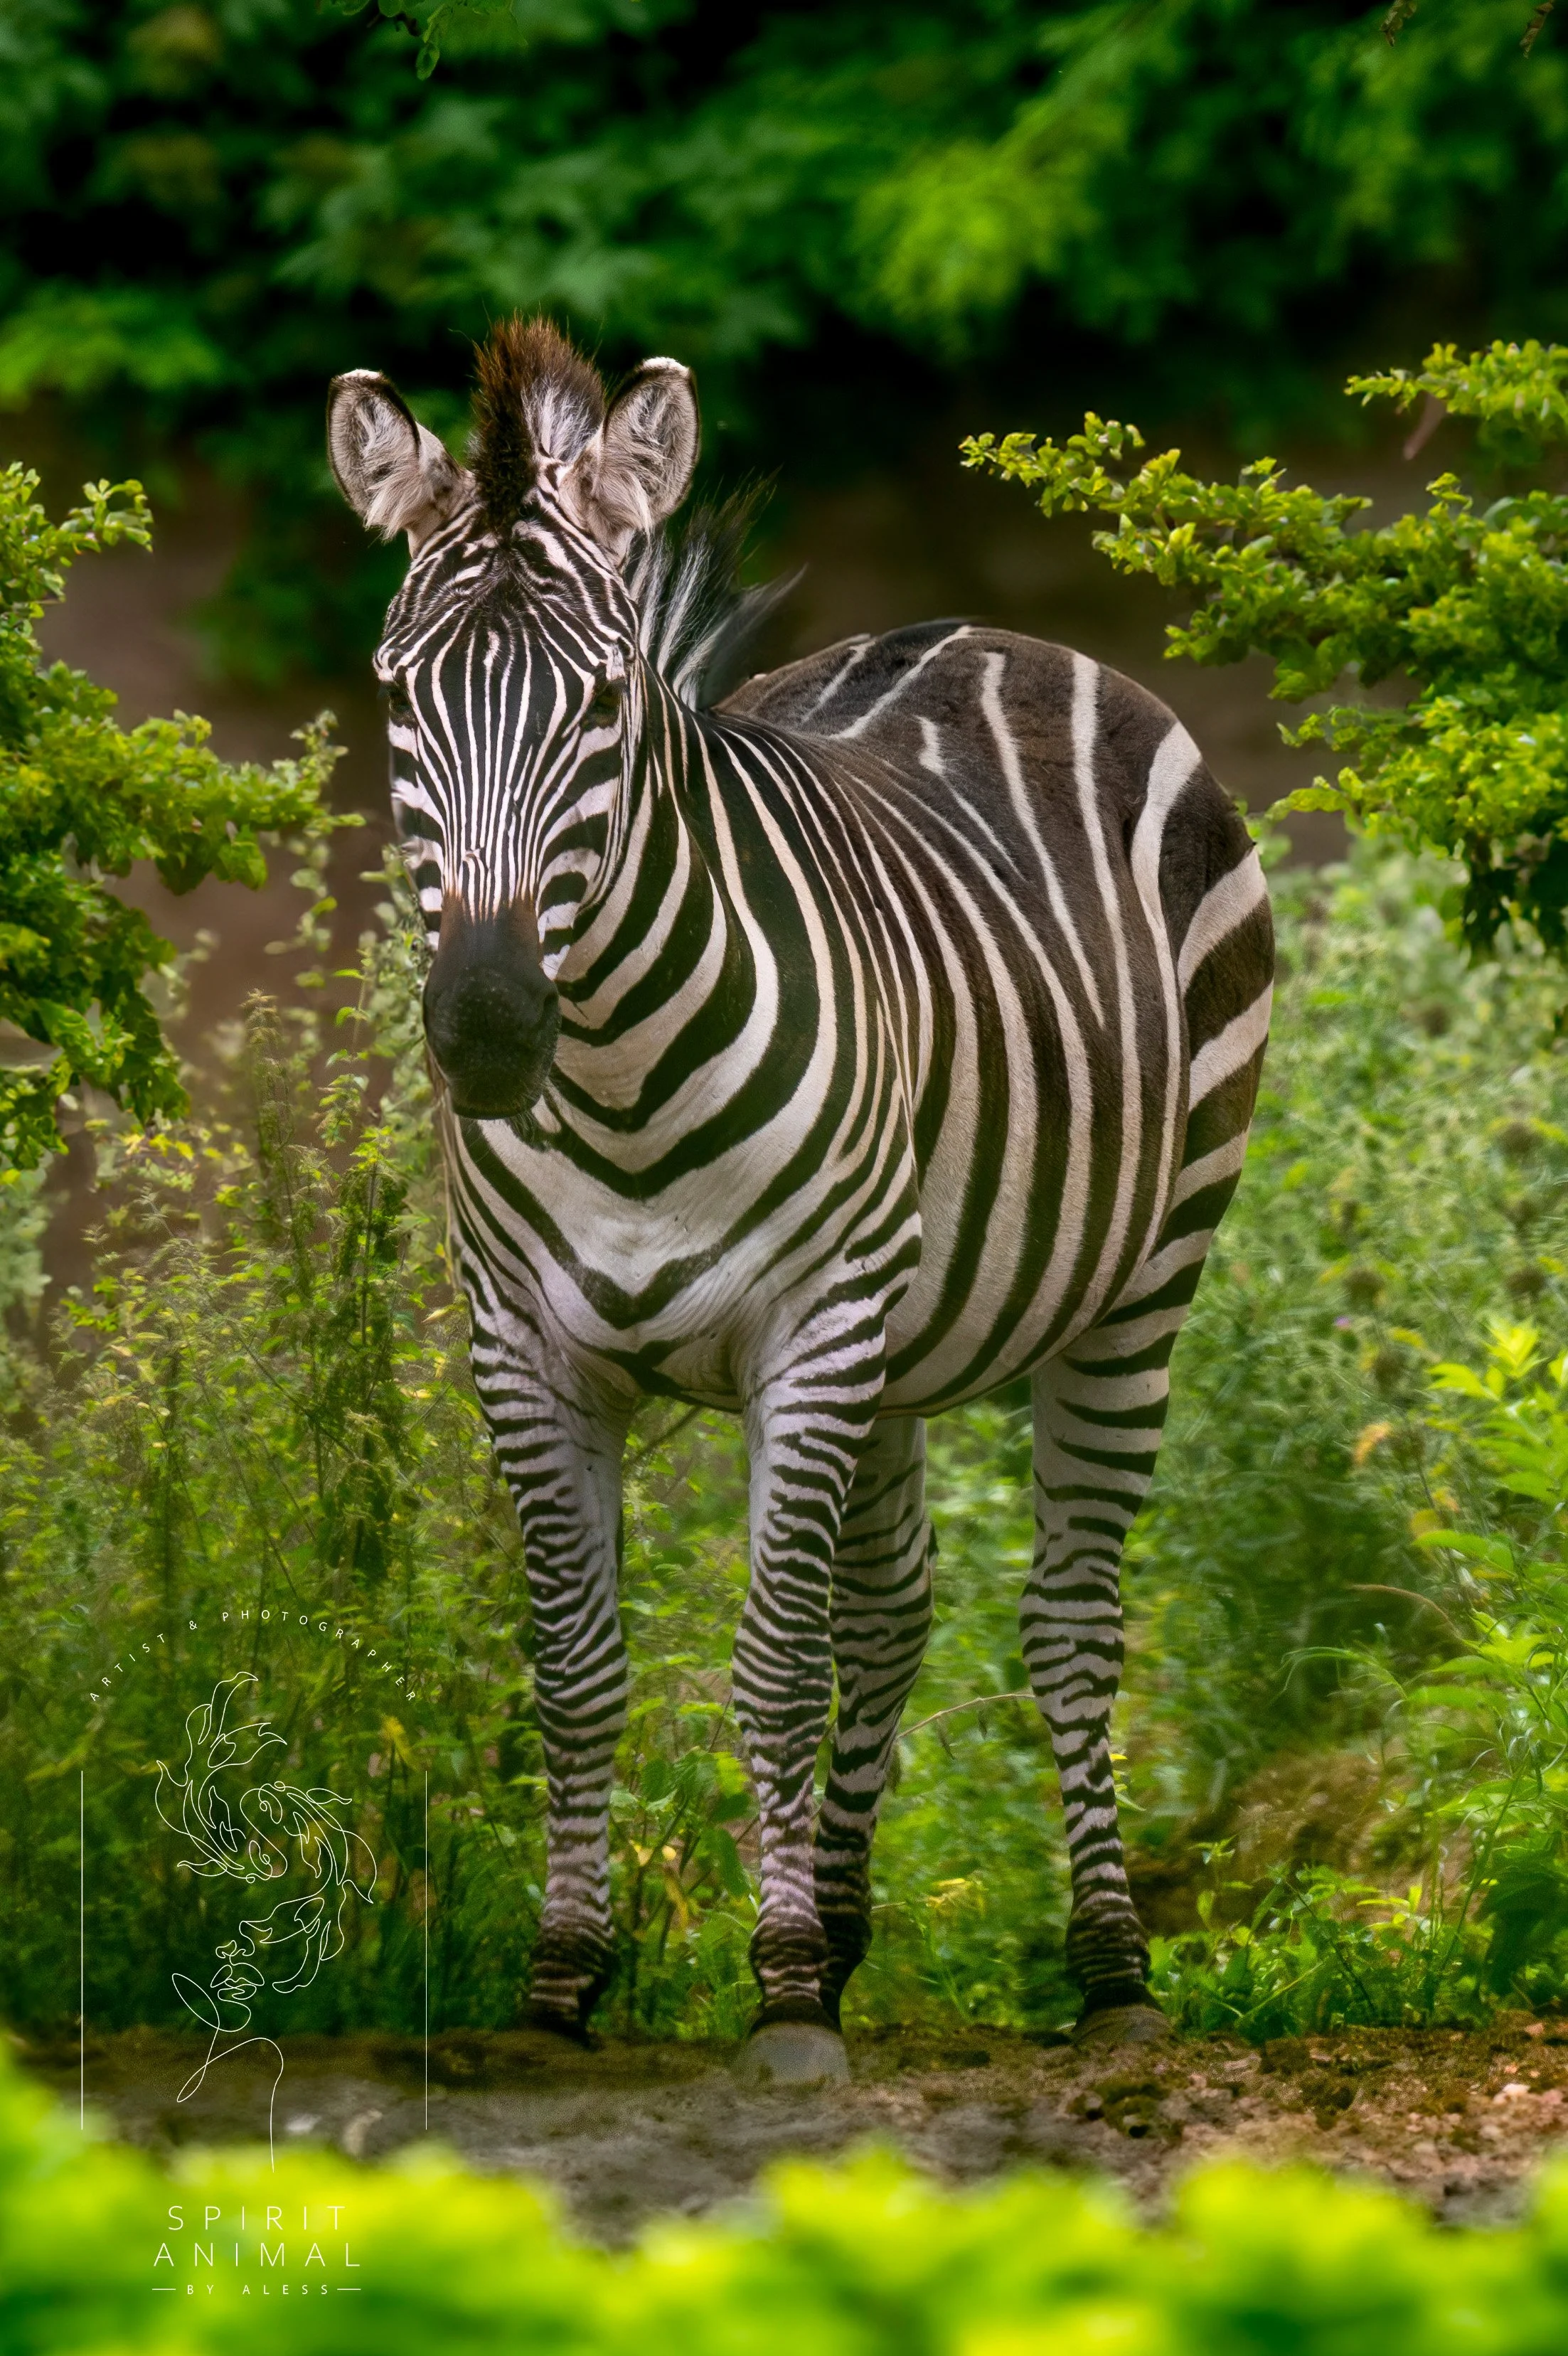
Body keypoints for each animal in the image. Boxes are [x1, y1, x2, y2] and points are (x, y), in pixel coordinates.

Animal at [327, 318, 1273, 2083]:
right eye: (399, 695)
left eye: (604, 701)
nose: (483, 1032)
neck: (618, 1076)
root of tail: (986, 627)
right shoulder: (525, 1349)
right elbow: (577, 1669)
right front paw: (567, 1981)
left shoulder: (809, 1331)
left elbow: (770, 1664)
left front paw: (772, 1993)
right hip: (902, 1336)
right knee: (893, 1613)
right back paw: (840, 1926)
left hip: (1134, 1286)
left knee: (1066, 1618)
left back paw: (1108, 1969)